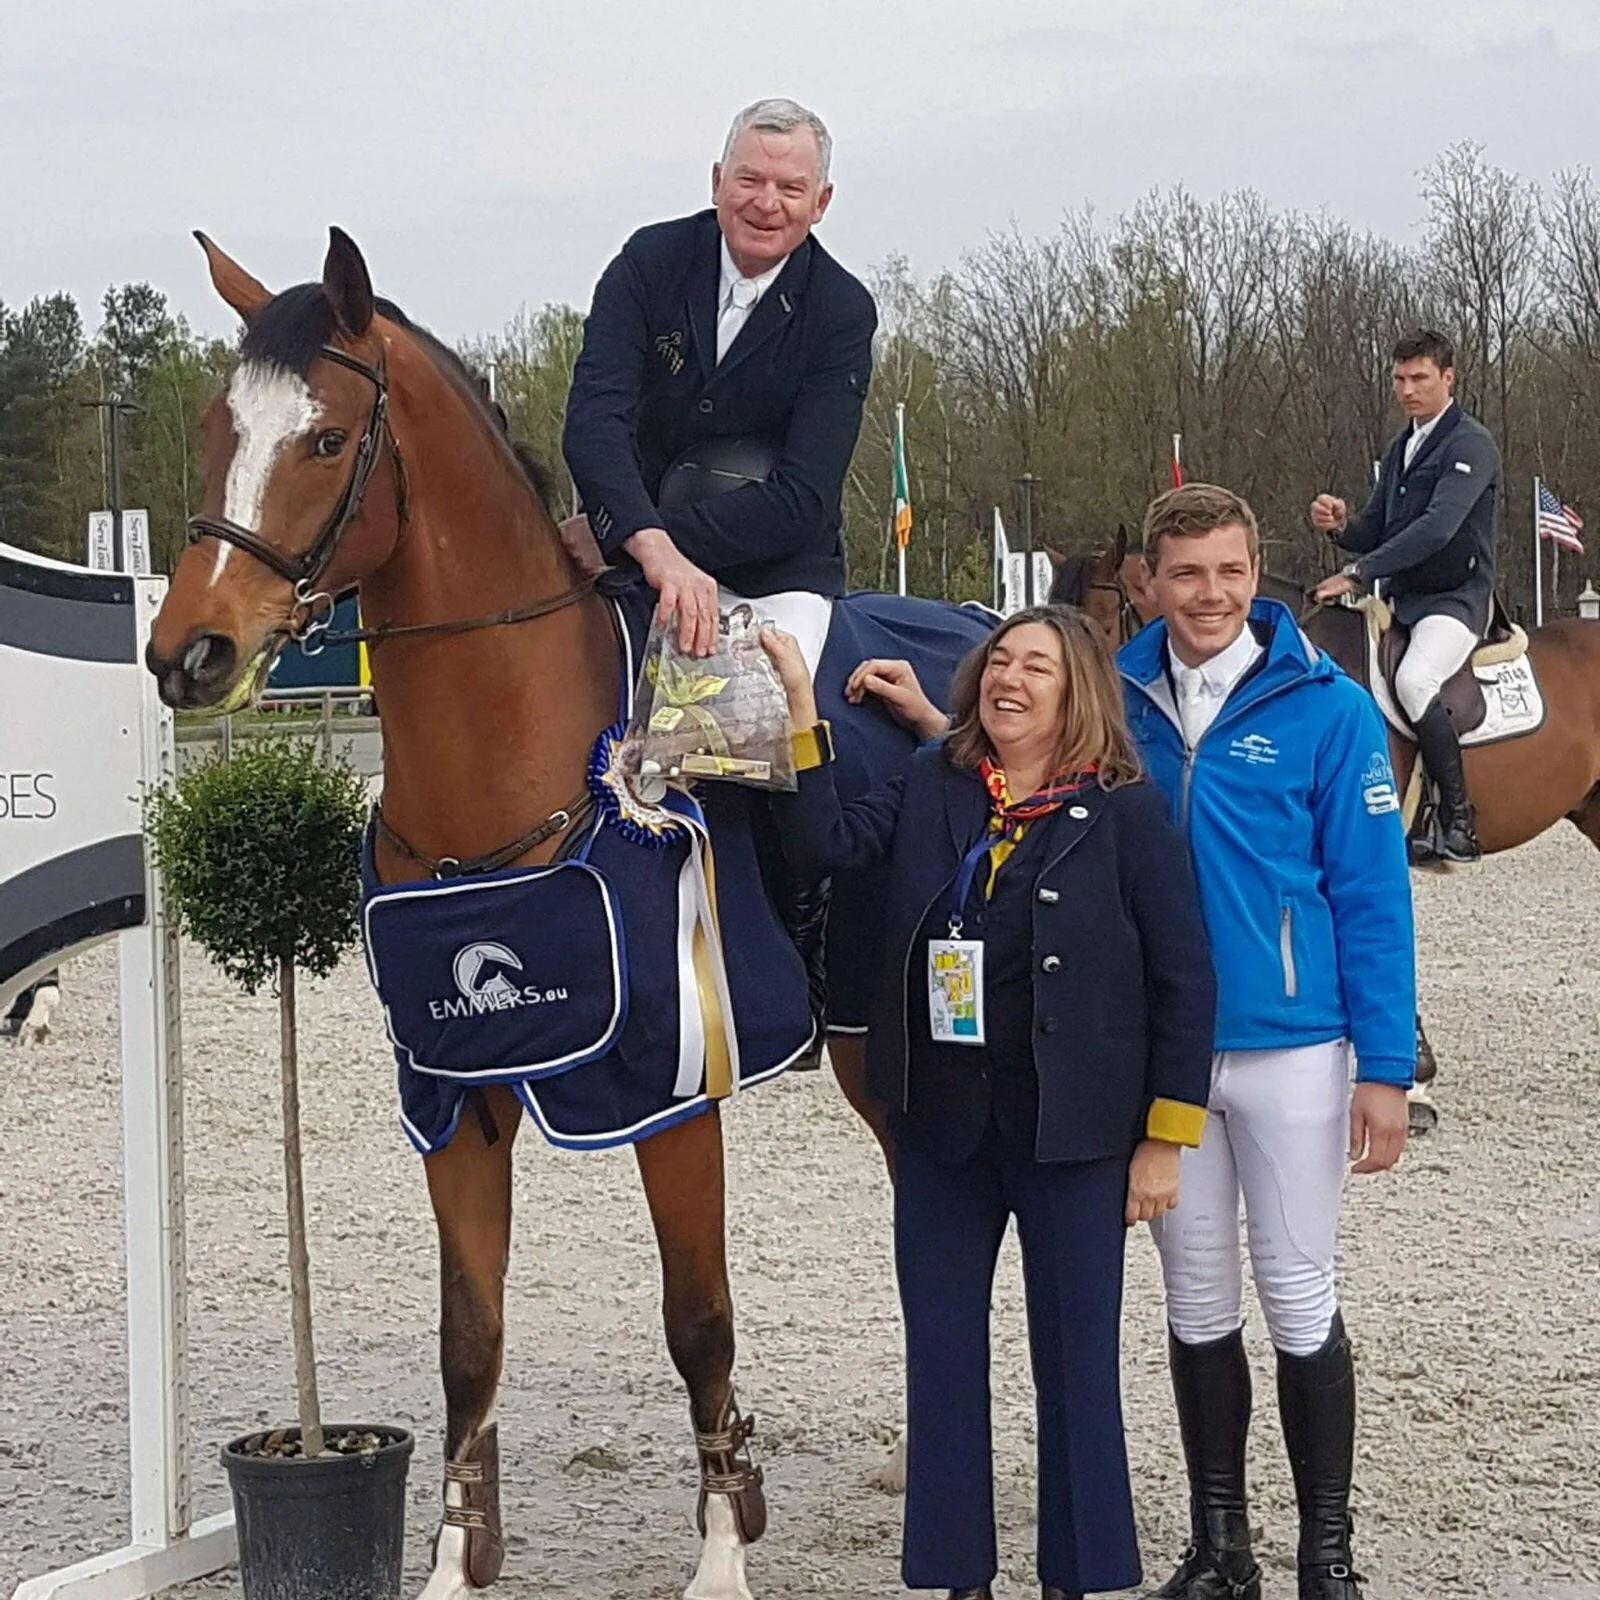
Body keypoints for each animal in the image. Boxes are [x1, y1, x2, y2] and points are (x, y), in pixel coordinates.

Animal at [143, 228, 989, 1600]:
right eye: (219, 426)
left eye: (324, 438)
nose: (190, 653)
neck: (502, 772)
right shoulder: (455, 1103)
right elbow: (468, 1338)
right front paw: (452, 1560)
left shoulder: (672, 1096)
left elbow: (698, 1319)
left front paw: (720, 1553)